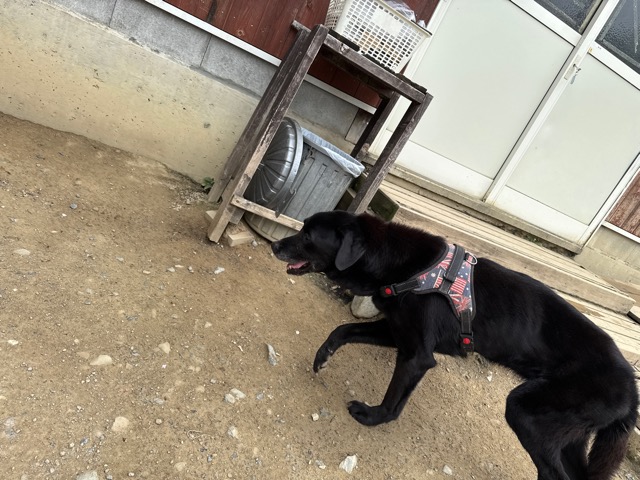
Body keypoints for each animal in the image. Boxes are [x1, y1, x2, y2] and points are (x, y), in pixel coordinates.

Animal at [271, 210, 638, 480]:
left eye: (308, 236)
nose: (275, 244)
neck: (402, 265)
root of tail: (631, 388)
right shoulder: (400, 334)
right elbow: (343, 330)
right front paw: (322, 357)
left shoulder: (417, 355)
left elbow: (391, 401)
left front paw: (372, 417)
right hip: (567, 435)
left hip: (526, 411)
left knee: (553, 473)